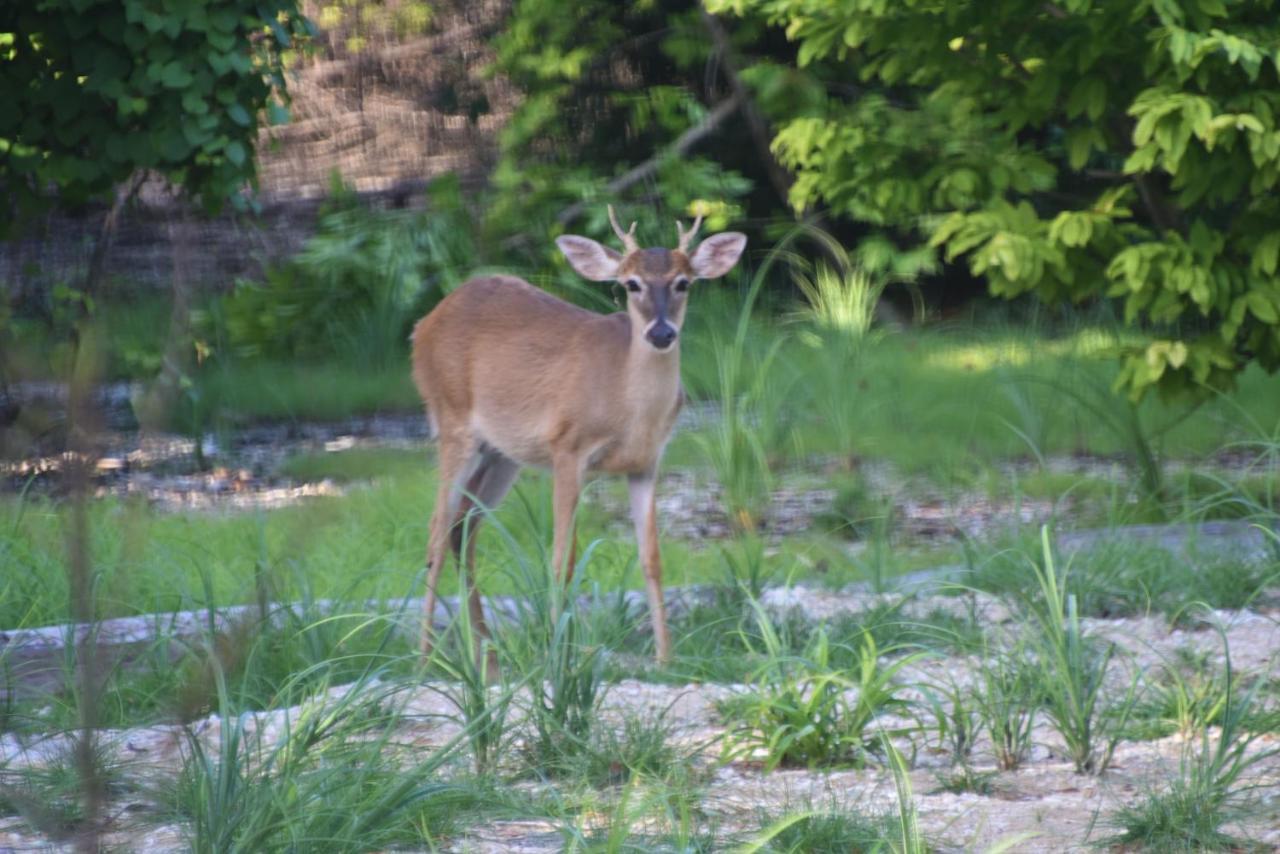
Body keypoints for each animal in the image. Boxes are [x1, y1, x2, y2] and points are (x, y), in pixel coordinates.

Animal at [414, 208, 747, 665]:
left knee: (462, 528)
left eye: (683, 282)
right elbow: (561, 559)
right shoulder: (566, 447)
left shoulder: (647, 463)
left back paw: (488, 661)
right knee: (435, 531)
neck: (629, 408)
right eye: (631, 283)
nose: (661, 333)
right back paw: (424, 660)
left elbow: (652, 558)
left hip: (501, 453)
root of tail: (421, 327)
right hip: (452, 421)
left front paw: (665, 658)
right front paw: (559, 658)